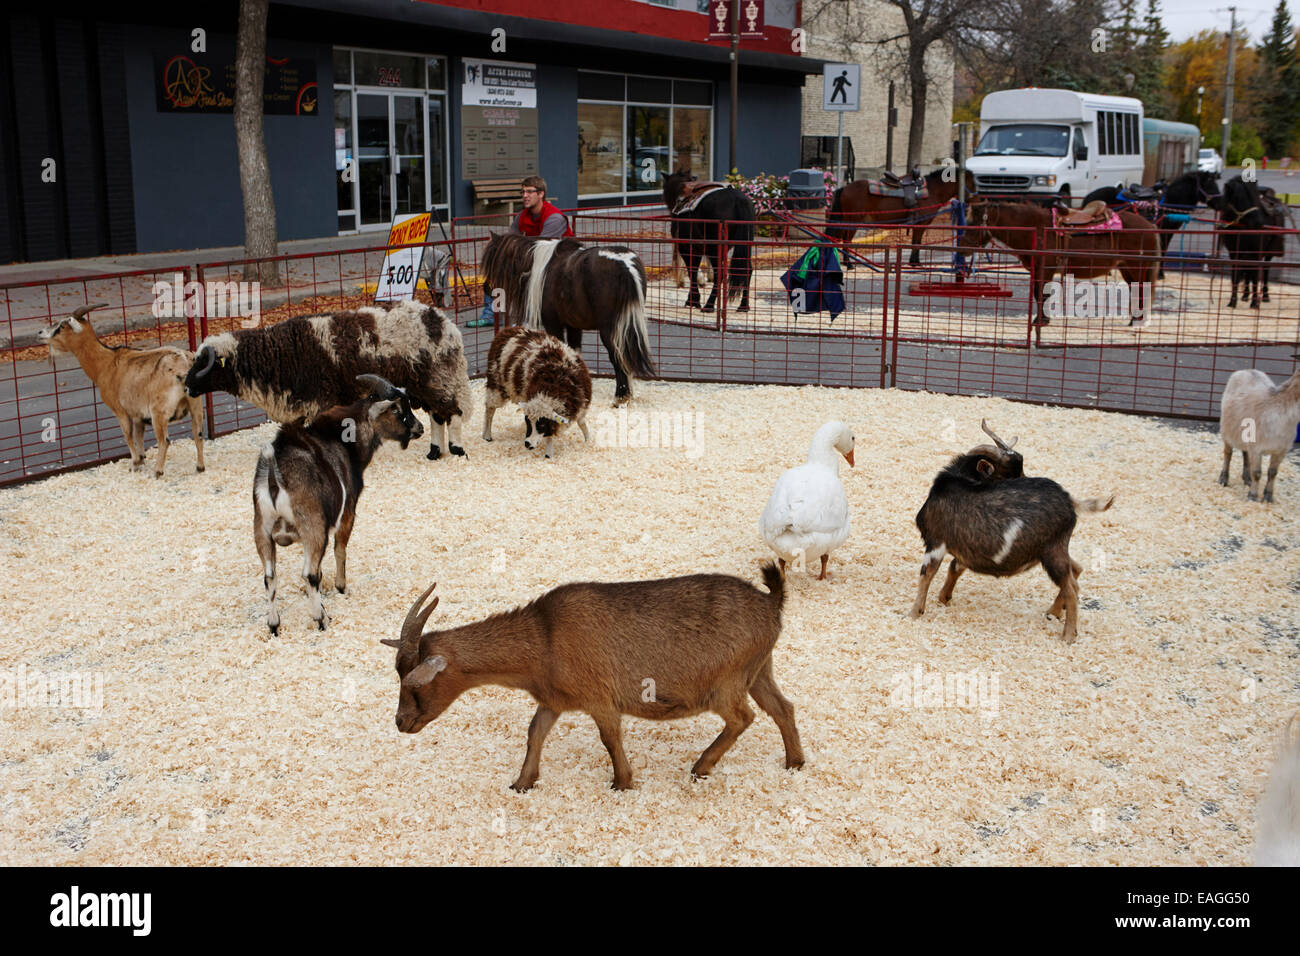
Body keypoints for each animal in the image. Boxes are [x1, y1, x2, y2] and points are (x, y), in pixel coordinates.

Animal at [39, 300, 205, 476]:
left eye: (62, 326)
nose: (40, 333)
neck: (106, 362)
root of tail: (183, 364)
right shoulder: (138, 414)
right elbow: (139, 437)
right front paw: (141, 460)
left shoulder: (120, 410)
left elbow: (127, 436)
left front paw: (135, 463)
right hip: (195, 405)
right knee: (198, 434)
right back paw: (200, 467)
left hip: (158, 411)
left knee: (164, 441)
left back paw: (157, 472)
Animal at [180, 300, 470, 463]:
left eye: (203, 364)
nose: (186, 386)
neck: (275, 355)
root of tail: (443, 321)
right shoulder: (298, 406)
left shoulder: (319, 401)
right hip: (426, 382)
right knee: (437, 415)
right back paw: (434, 452)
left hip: (439, 377)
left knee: (451, 412)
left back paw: (455, 449)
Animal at [249, 374, 421, 634]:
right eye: (398, 410)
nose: (419, 428)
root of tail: (273, 476)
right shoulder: (347, 511)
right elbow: (340, 550)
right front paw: (341, 587)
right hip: (313, 527)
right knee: (308, 573)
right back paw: (321, 619)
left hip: (262, 528)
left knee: (270, 576)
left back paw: (274, 625)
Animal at [379, 561, 800, 790]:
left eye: (414, 682)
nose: (400, 722)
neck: (543, 638)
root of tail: (771, 603)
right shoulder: (553, 701)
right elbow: (535, 733)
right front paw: (522, 783)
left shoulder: (600, 698)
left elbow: (610, 738)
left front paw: (622, 782)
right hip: (760, 670)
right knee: (783, 708)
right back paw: (795, 762)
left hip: (725, 683)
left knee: (742, 717)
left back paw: (701, 766)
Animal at [483, 327, 595, 457]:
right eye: (527, 422)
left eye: (541, 425)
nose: (527, 444)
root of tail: (507, 330)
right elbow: (550, 436)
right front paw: (548, 454)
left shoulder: (582, 405)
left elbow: (581, 423)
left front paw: (588, 440)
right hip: (496, 383)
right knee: (490, 409)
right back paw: (486, 435)